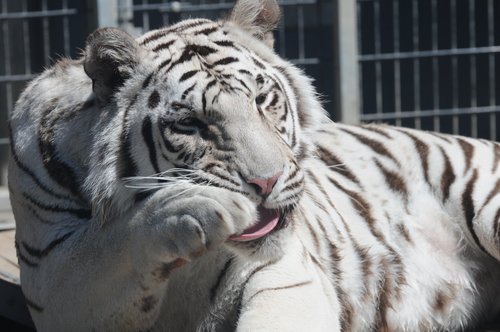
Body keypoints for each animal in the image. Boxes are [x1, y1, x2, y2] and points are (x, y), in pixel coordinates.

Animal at [6, 0, 500, 330]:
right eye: (190, 124)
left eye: (263, 100)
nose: (267, 182)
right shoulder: (50, 280)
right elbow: (104, 249)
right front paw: (197, 204)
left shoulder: (283, 275)